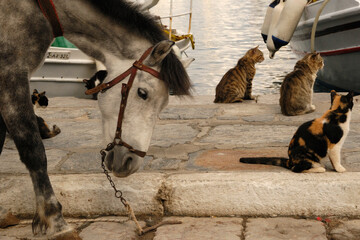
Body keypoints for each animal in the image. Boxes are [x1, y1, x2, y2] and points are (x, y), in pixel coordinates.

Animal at [0, 0, 191, 237]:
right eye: (143, 93)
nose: (130, 162)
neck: (40, 9)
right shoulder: (11, 73)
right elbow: (33, 151)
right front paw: (55, 220)